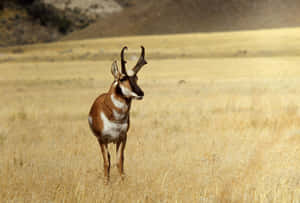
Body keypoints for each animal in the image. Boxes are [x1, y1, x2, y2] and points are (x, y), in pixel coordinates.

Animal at [87, 46, 147, 182]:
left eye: (136, 78)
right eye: (122, 78)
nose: (140, 93)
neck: (115, 118)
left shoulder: (122, 138)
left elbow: (120, 161)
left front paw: (122, 181)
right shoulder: (102, 140)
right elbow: (106, 162)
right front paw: (106, 182)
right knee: (107, 159)